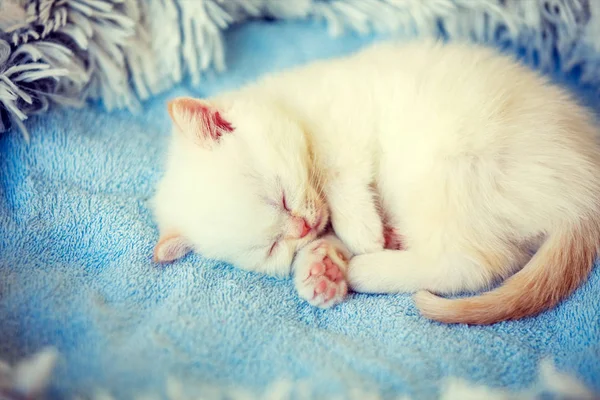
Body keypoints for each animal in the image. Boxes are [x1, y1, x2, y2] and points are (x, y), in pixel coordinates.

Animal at [151, 39, 600, 324]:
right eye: (272, 248)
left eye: (279, 197)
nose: (302, 228)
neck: (296, 108)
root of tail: (584, 191)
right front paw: (318, 270)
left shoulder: (346, 113)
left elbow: (338, 173)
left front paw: (359, 233)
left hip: (444, 170)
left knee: (471, 266)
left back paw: (368, 268)